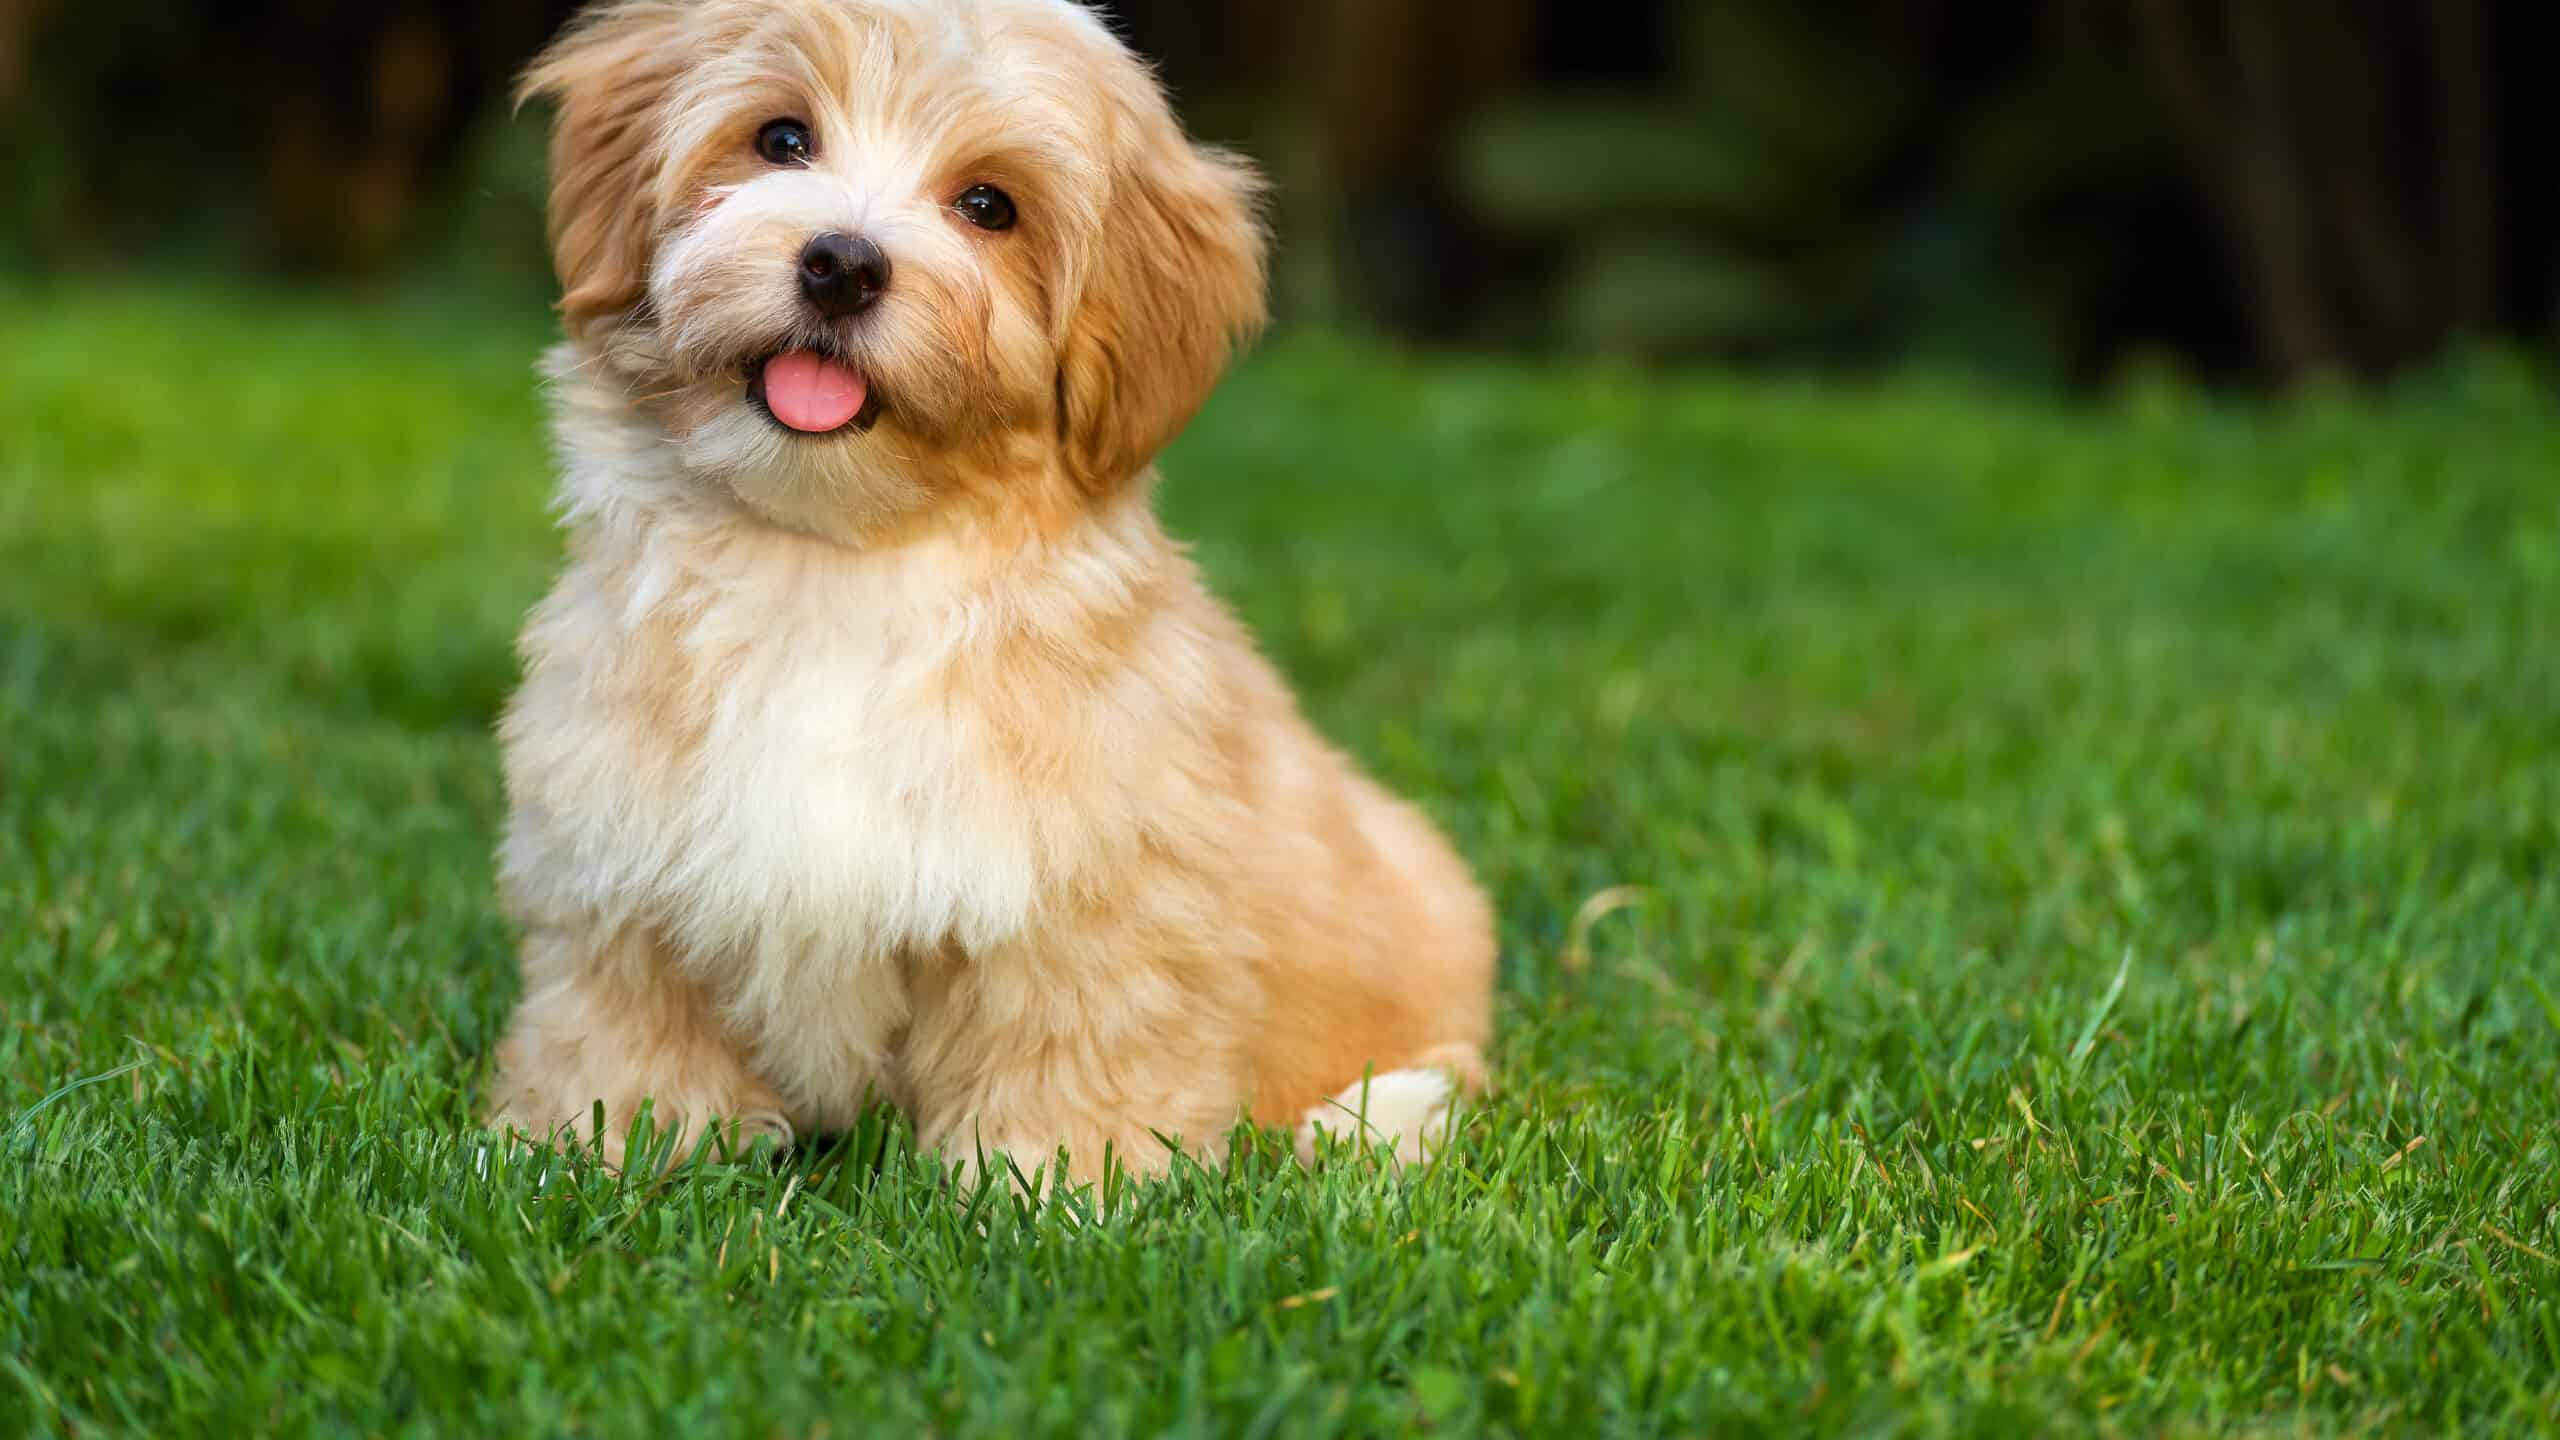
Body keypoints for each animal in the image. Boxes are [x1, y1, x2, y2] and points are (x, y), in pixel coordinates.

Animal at [486, 0, 1495, 1178]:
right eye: (781, 139)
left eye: (987, 207)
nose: (841, 263)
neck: (835, 559)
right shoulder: (617, 858)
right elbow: (621, 1019)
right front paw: (593, 1141)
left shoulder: (1087, 893)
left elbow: (1071, 1037)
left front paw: (1052, 1179)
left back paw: (1377, 1116)